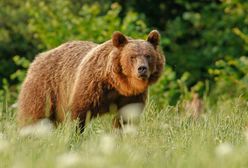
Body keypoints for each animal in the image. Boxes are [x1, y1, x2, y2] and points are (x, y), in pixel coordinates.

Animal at [17, 30, 165, 131]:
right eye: (132, 56)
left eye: (148, 55)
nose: (142, 69)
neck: (118, 84)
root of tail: (38, 58)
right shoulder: (91, 85)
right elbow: (78, 113)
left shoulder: (132, 96)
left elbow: (126, 118)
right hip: (45, 88)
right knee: (35, 115)